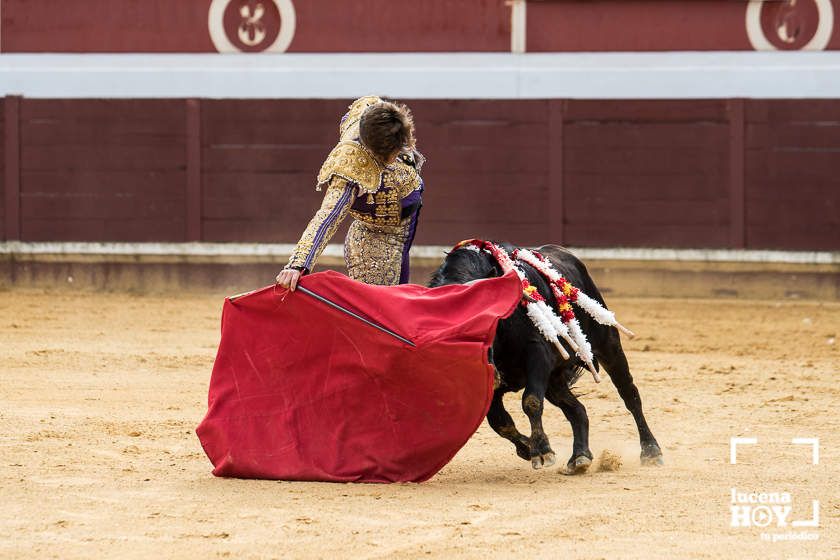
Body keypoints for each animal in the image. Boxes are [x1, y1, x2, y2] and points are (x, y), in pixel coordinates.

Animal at [434, 244, 664, 472]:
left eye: (487, 319)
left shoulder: (538, 354)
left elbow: (531, 401)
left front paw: (542, 451)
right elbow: (500, 421)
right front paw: (528, 448)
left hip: (608, 345)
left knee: (629, 395)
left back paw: (651, 450)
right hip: (554, 380)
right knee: (577, 410)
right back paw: (580, 457)